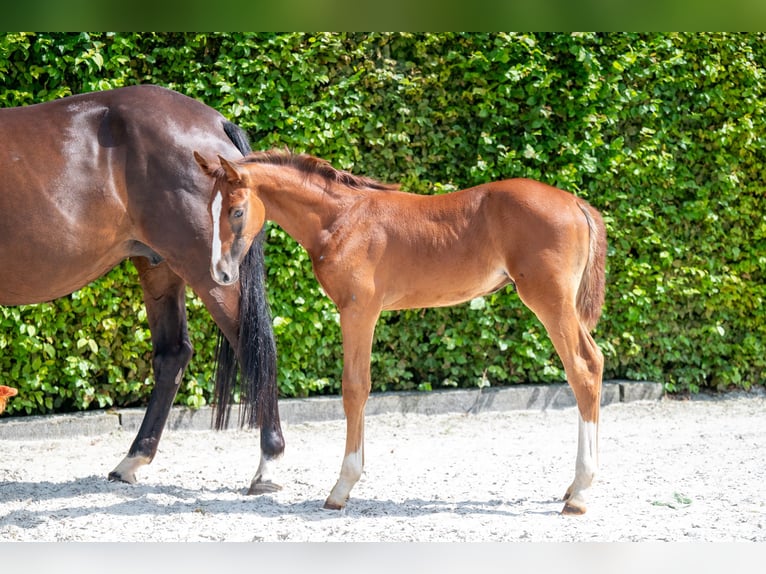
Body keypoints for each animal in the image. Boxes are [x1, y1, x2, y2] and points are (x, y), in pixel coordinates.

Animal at [0, 85, 284, 496]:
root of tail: (215, 123)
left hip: (208, 272)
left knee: (253, 344)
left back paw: (268, 465)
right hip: (159, 266)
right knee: (173, 354)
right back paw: (131, 461)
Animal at [198, 150, 612, 516]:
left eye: (237, 211)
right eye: (209, 210)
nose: (220, 273)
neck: (342, 220)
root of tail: (576, 203)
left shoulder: (358, 311)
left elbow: (355, 387)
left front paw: (342, 487)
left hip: (549, 300)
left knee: (583, 368)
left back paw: (580, 493)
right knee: (594, 360)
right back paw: (573, 488)